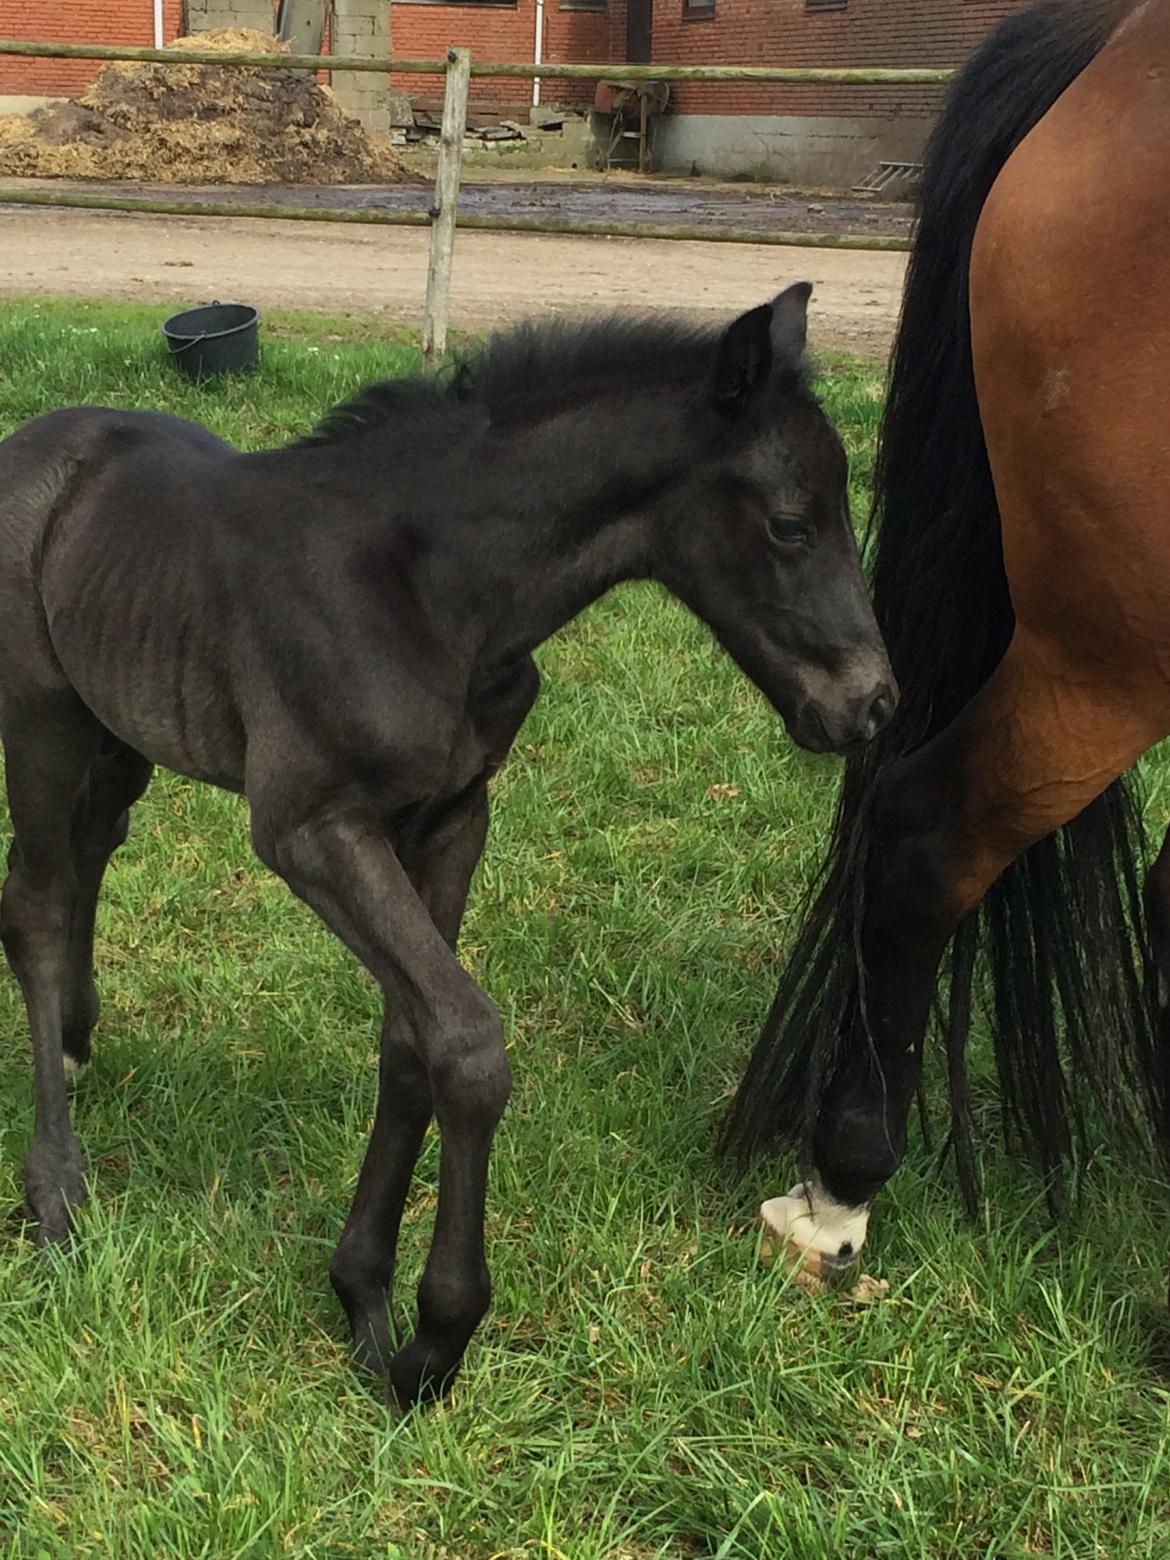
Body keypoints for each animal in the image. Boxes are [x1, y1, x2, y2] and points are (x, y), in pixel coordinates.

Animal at [0, 287, 898, 1410]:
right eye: (789, 524)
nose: (874, 706)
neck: (435, 594)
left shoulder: (455, 816)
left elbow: (410, 1041)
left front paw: (364, 1298)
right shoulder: (311, 828)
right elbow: (466, 1044)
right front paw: (437, 1338)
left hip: (117, 727)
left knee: (92, 853)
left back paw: (80, 1044)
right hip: (40, 716)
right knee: (36, 908)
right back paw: (56, 1195)